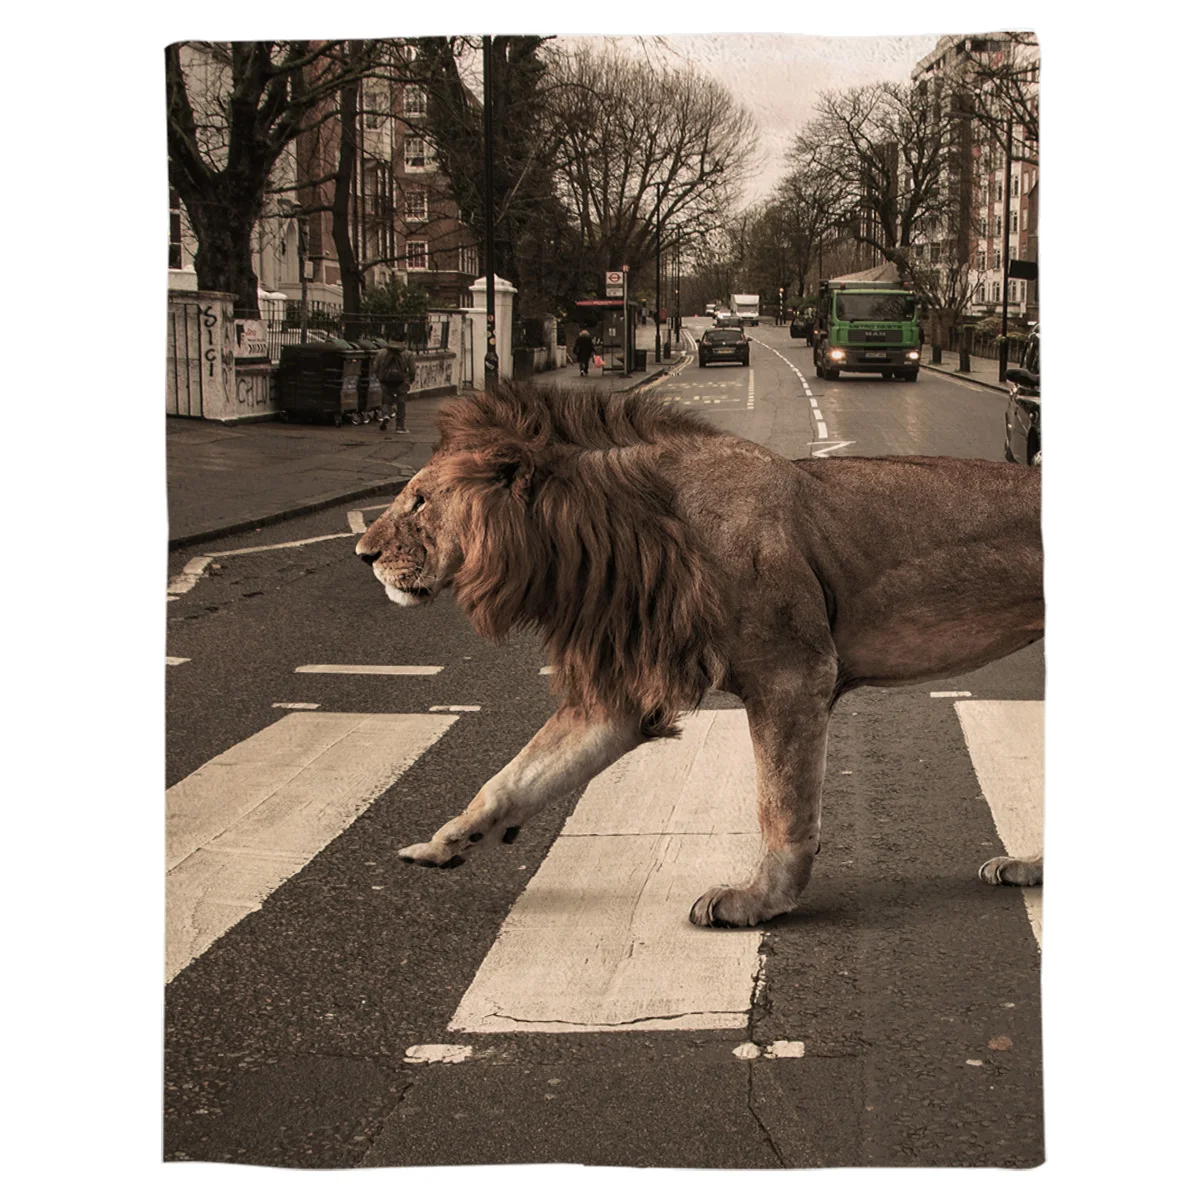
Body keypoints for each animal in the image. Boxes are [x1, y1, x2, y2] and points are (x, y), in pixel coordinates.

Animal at [354, 380, 1043, 927]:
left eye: (419, 500)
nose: (363, 554)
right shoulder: (621, 695)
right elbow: (516, 778)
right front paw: (443, 843)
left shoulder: (793, 673)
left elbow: (781, 805)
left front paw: (760, 902)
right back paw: (1031, 868)